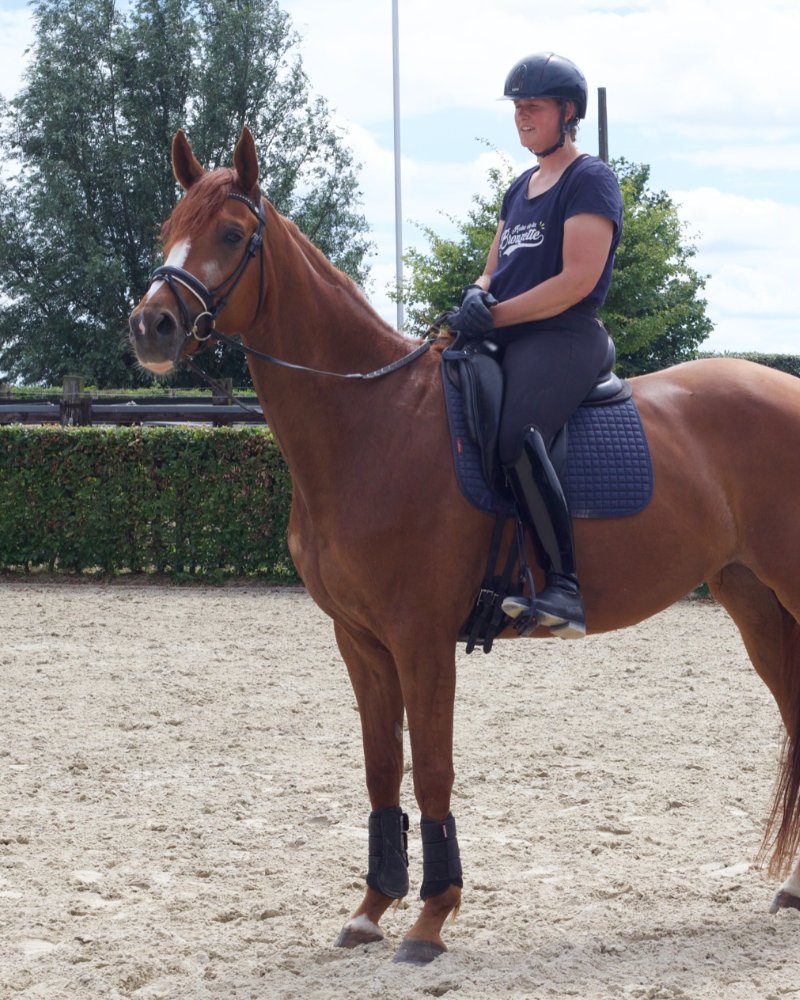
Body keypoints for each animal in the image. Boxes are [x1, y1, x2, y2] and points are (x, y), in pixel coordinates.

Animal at [129, 126, 800, 964]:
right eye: (167, 229)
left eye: (229, 234)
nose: (150, 327)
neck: (372, 419)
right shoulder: (360, 641)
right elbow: (382, 769)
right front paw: (372, 906)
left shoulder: (421, 639)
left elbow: (433, 773)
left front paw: (430, 918)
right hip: (754, 600)